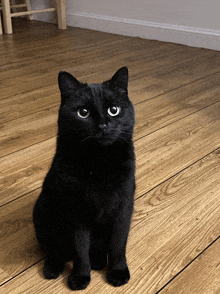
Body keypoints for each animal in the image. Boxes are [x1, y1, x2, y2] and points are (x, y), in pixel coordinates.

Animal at [33, 66, 136, 290]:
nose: (103, 126)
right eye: (83, 113)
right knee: (54, 249)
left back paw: (98, 262)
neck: (98, 163)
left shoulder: (123, 209)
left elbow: (118, 244)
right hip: (43, 212)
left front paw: (118, 272)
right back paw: (52, 268)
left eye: (113, 110)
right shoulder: (76, 213)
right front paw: (80, 277)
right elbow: (80, 250)